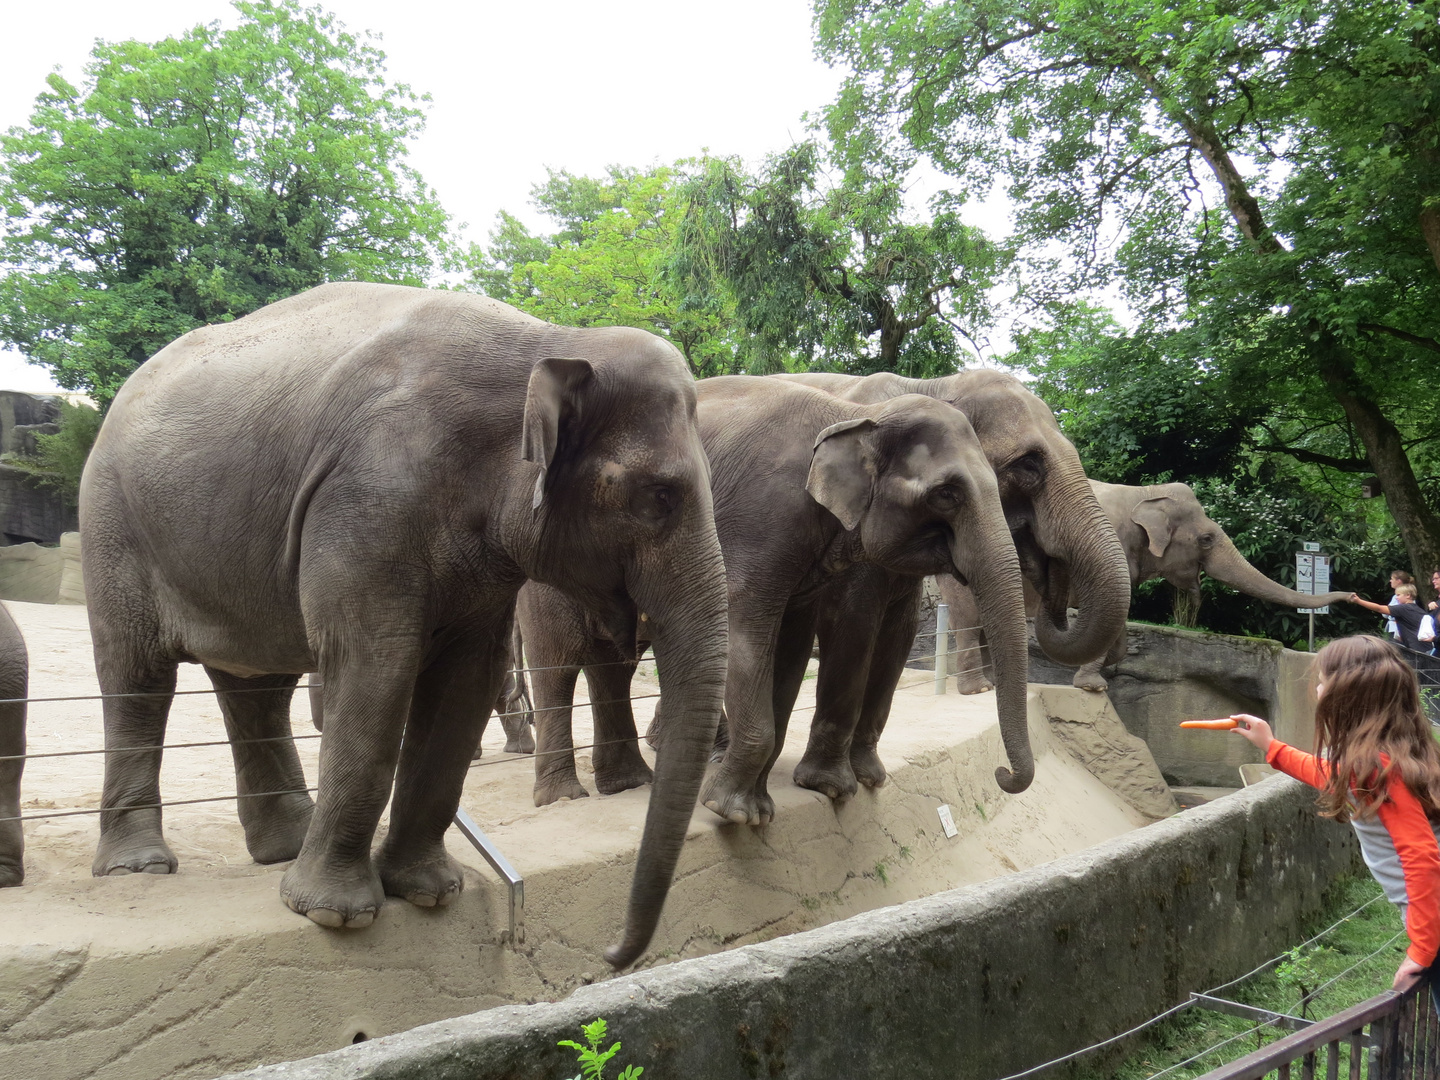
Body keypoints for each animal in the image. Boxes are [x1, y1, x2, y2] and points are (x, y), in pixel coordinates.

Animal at [81, 280, 731, 973]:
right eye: (658, 497)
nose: (610, 954)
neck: (550, 340)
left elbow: (465, 682)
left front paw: (429, 893)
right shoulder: (367, 498)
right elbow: (377, 663)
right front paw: (335, 914)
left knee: (257, 685)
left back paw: (286, 845)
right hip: (112, 524)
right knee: (136, 677)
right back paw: (139, 868)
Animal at [512, 377, 1031, 823]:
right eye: (947, 494)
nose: (1002, 773)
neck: (853, 416)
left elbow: (792, 644)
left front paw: (773, 798)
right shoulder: (760, 521)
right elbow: (744, 625)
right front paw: (736, 812)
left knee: (612, 665)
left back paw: (627, 784)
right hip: (547, 566)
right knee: (559, 663)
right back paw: (563, 798)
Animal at [771, 371, 1128, 794]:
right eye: (1029, 465)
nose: (1000, 772)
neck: (938, 385)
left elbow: (900, 630)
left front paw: (871, 778)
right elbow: (855, 618)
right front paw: (830, 785)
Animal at [944, 480, 1359, 694]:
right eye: (1206, 539)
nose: (1355, 595)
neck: (1144, 493)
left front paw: (1110, 665)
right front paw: (1095, 686)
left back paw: (992, 685)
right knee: (969, 617)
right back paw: (978, 689)